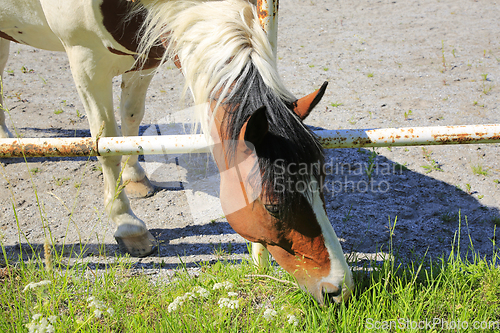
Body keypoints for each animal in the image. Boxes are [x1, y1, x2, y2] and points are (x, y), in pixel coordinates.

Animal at [0, 0, 354, 302]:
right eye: (273, 207)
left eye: (321, 186)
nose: (339, 288)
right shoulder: (86, 61)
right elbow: (107, 143)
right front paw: (127, 225)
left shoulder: (146, 56)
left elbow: (131, 118)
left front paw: (136, 178)